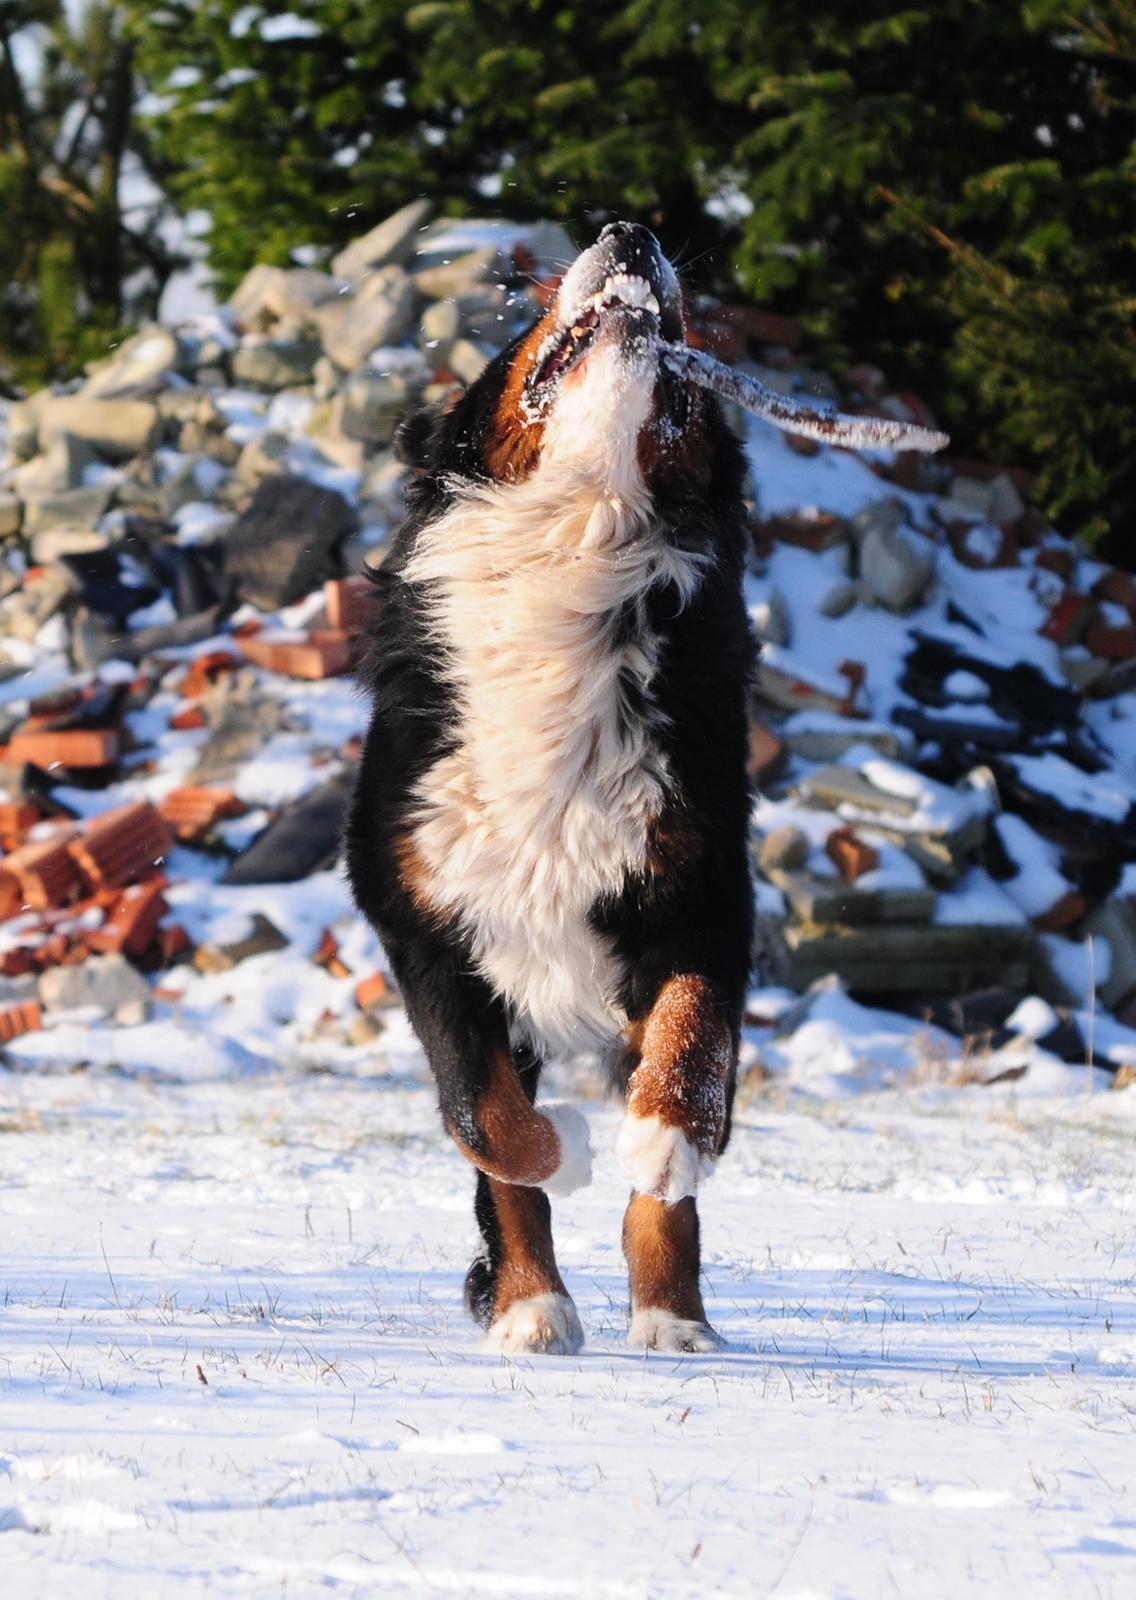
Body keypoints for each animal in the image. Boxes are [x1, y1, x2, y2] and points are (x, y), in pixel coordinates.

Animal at [347, 219, 755, 1356]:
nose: (631, 230)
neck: (575, 549)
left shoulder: (703, 886)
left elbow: (690, 1046)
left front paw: (661, 1150)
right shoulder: (423, 918)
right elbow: (486, 1123)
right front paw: (559, 1181)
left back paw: (673, 1318)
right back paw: (529, 1304)